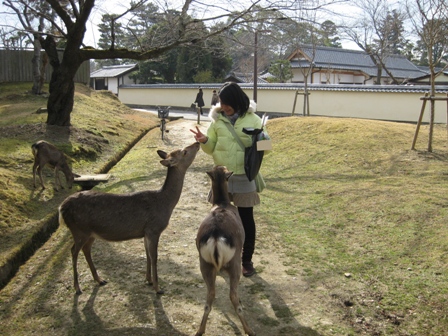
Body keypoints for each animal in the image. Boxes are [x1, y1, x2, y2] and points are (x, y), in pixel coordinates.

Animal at [57, 142, 200, 294]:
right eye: (184, 152)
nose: (197, 143)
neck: (165, 202)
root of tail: (61, 208)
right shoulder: (154, 229)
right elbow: (154, 257)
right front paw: (158, 288)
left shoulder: (145, 232)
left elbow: (147, 255)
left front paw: (148, 280)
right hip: (78, 229)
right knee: (73, 251)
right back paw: (77, 288)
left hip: (90, 233)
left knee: (86, 249)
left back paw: (99, 280)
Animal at [196, 165, 256, 336]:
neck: (222, 203)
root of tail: (216, 238)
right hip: (234, 263)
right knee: (233, 296)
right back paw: (249, 329)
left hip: (204, 264)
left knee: (209, 297)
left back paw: (200, 330)